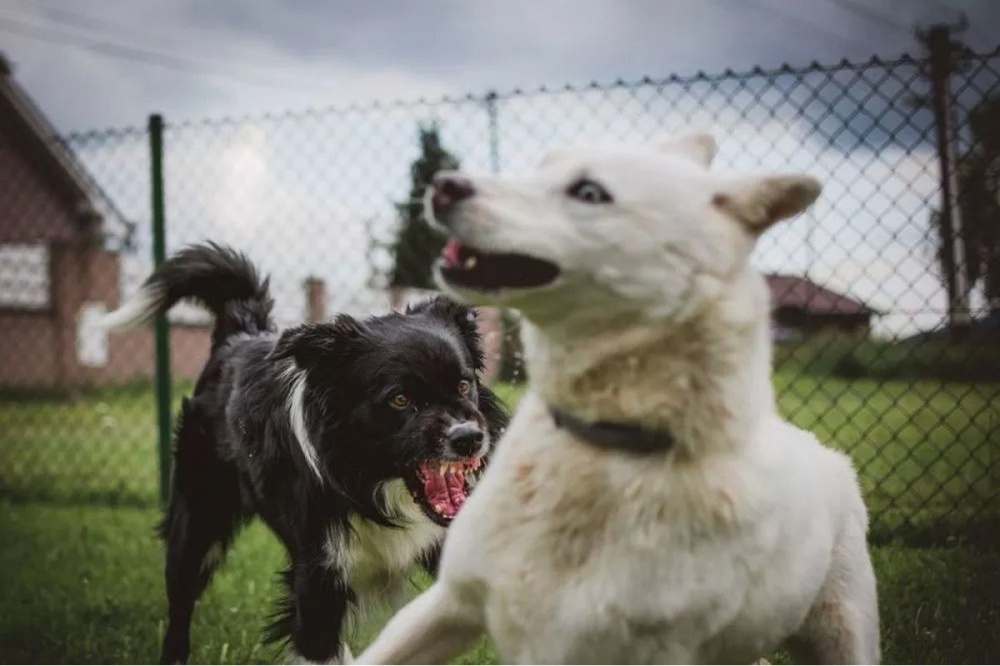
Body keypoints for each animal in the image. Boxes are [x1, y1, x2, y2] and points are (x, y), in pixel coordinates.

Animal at [101, 243, 508, 660]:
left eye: (463, 385)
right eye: (400, 399)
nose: (469, 438)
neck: (371, 483)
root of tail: (242, 333)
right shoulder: (318, 580)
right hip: (197, 521)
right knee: (181, 604)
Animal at [358, 132, 876, 660]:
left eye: (589, 192)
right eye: (543, 165)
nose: (444, 185)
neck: (601, 449)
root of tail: (825, 452)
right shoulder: (449, 603)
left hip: (843, 632)